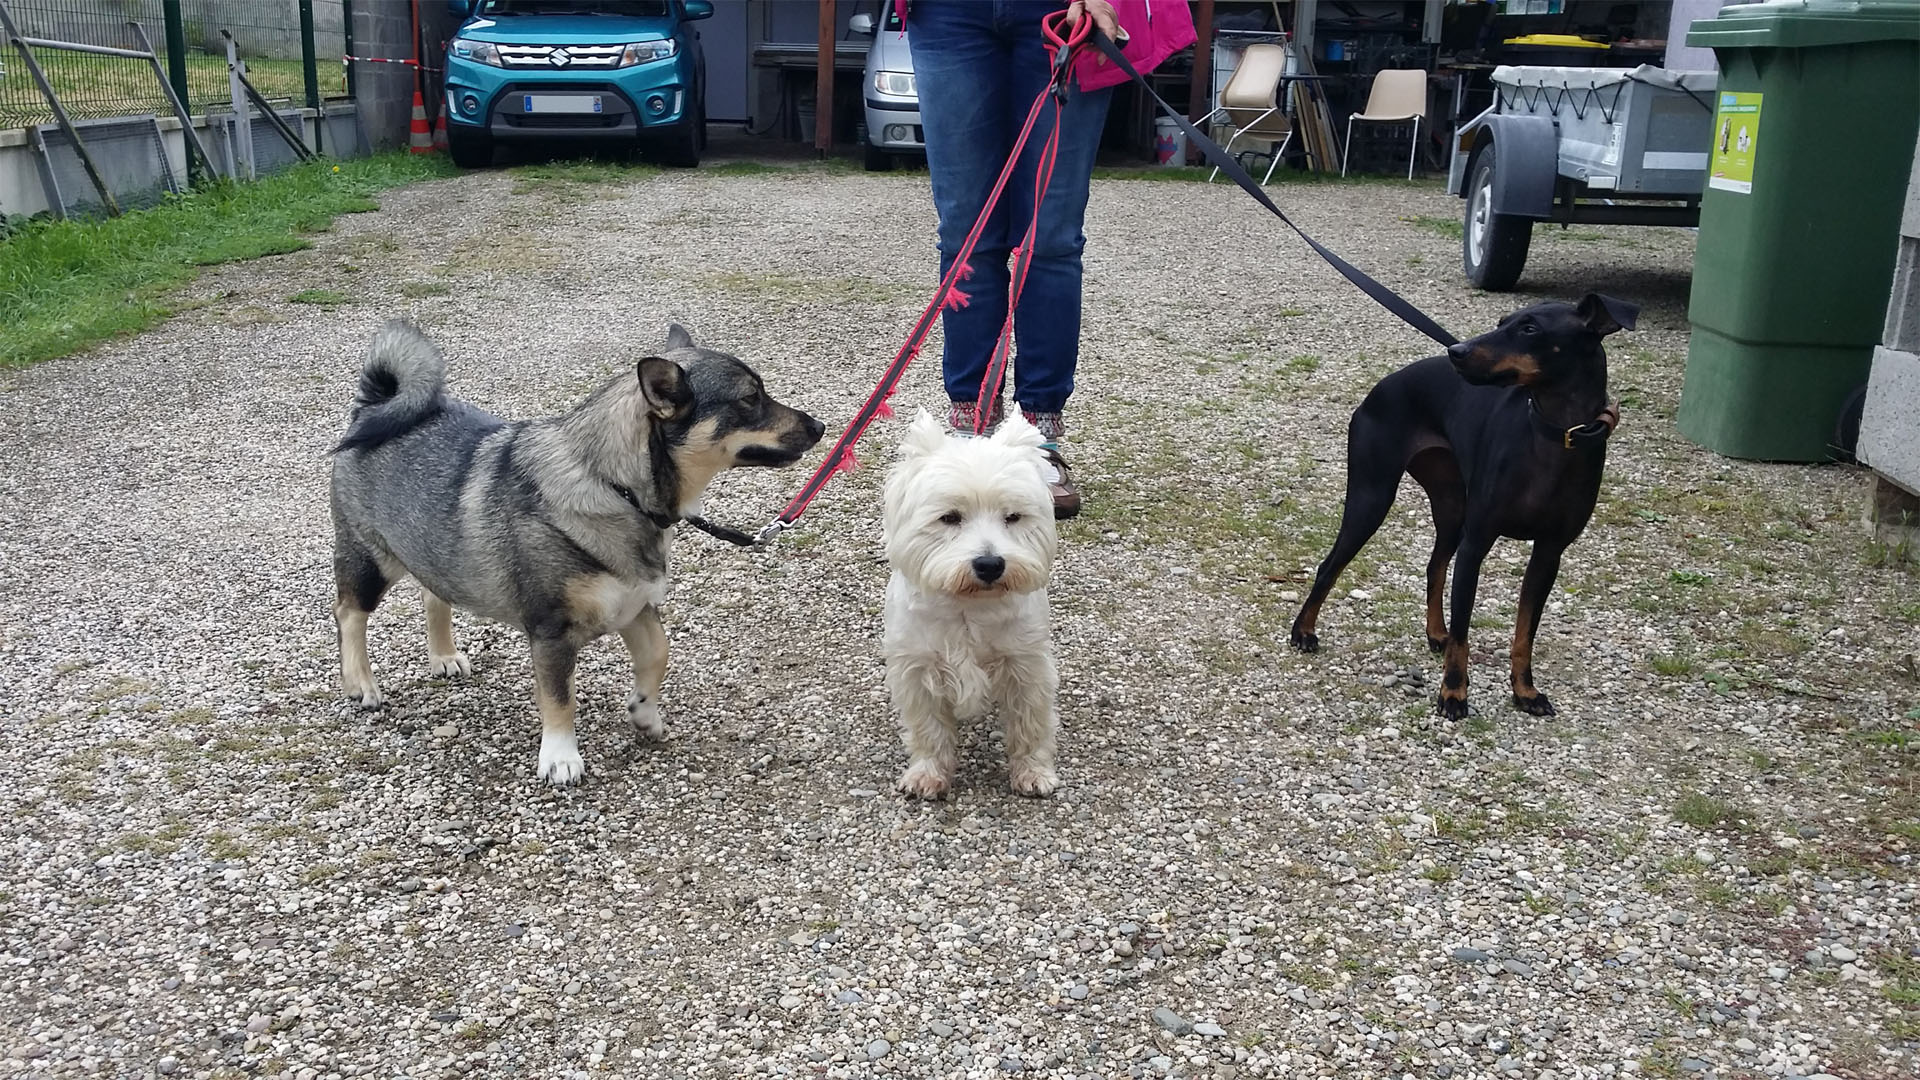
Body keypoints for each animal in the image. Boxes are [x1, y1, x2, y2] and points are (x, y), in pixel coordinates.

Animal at [330, 319, 825, 780]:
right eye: (749, 399)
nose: (820, 427)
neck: (614, 485)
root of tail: (376, 404)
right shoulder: (552, 632)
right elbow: (560, 698)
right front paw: (560, 756)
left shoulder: (635, 607)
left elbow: (658, 655)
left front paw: (645, 711)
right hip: (371, 561)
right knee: (350, 614)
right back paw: (361, 683)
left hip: (434, 554)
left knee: (433, 594)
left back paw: (444, 655)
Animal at [879, 407, 1059, 795]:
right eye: (949, 517)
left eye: (1013, 516)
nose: (990, 565)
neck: (969, 606)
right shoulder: (918, 668)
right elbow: (929, 728)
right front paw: (927, 774)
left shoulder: (1026, 665)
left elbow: (1029, 722)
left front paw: (1033, 772)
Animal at [1290, 290, 1635, 718]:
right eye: (1503, 320)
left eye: (1530, 328)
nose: (1456, 351)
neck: (1555, 435)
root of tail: (1381, 387)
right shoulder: (1476, 545)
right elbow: (1463, 632)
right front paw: (1453, 694)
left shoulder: (1549, 554)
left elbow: (1524, 634)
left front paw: (1525, 691)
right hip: (1372, 497)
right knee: (1330, 566)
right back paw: (1304, 630)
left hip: (1451, 508)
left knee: (1434, 567)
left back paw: (1434, 631)